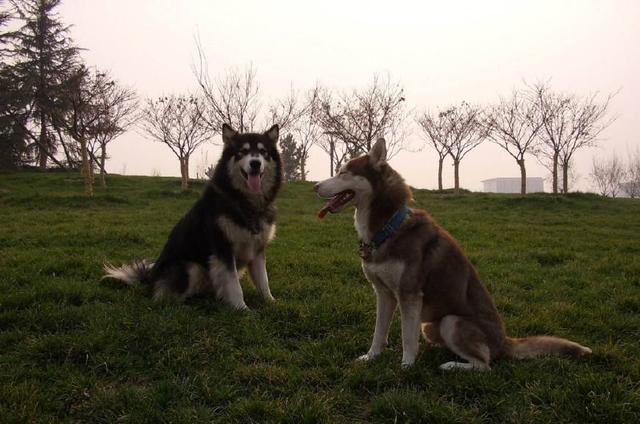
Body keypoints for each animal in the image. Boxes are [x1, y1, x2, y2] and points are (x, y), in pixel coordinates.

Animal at [104, 122, 282, 308]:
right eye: (242, 152)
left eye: (263, 152)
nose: (255, 163)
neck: (246, 202)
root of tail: (150, 278)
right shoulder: (222, 249)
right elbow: (234, 284)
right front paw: (241, 308)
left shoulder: (257, 249)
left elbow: (263, 281)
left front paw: (271, 302)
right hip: (191, 266)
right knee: (166, 297)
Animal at [314, 137, 592, 370]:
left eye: (343, 172)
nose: (315, 186)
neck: (388, 227)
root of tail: (504, 341)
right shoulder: (384, 294)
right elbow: (378, 332)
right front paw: (372, 357)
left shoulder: (409, 295)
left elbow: (406, 336)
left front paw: (407, 366)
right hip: (429, 326)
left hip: (452, 322)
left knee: (485, 365)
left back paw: (452, 366)